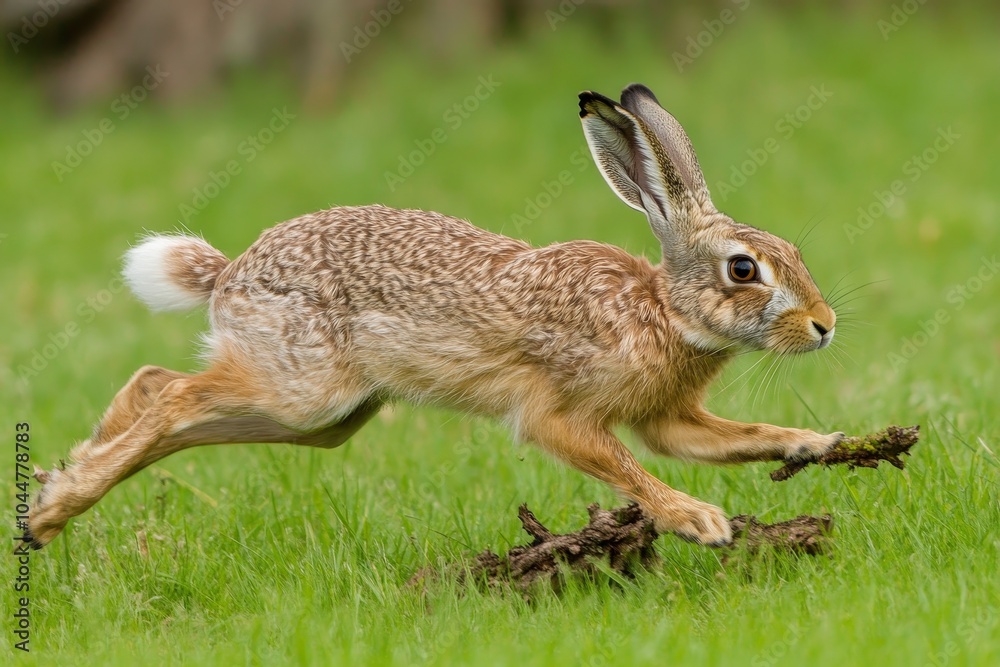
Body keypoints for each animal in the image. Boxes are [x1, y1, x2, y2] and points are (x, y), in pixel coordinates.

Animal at [26, 83, 842, 550]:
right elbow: (625, 468)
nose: (825, 325)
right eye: (744, 269)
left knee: (155, 385)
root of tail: (229, 274)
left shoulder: (670, 419)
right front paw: (698, 522)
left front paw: (816, 442)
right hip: (302, 389)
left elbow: (734, 438)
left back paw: (57, 486)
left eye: (794, 251)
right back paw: (54, 507)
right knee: (172, 394)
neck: (664, 310)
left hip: (322, 415)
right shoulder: (560, 416)